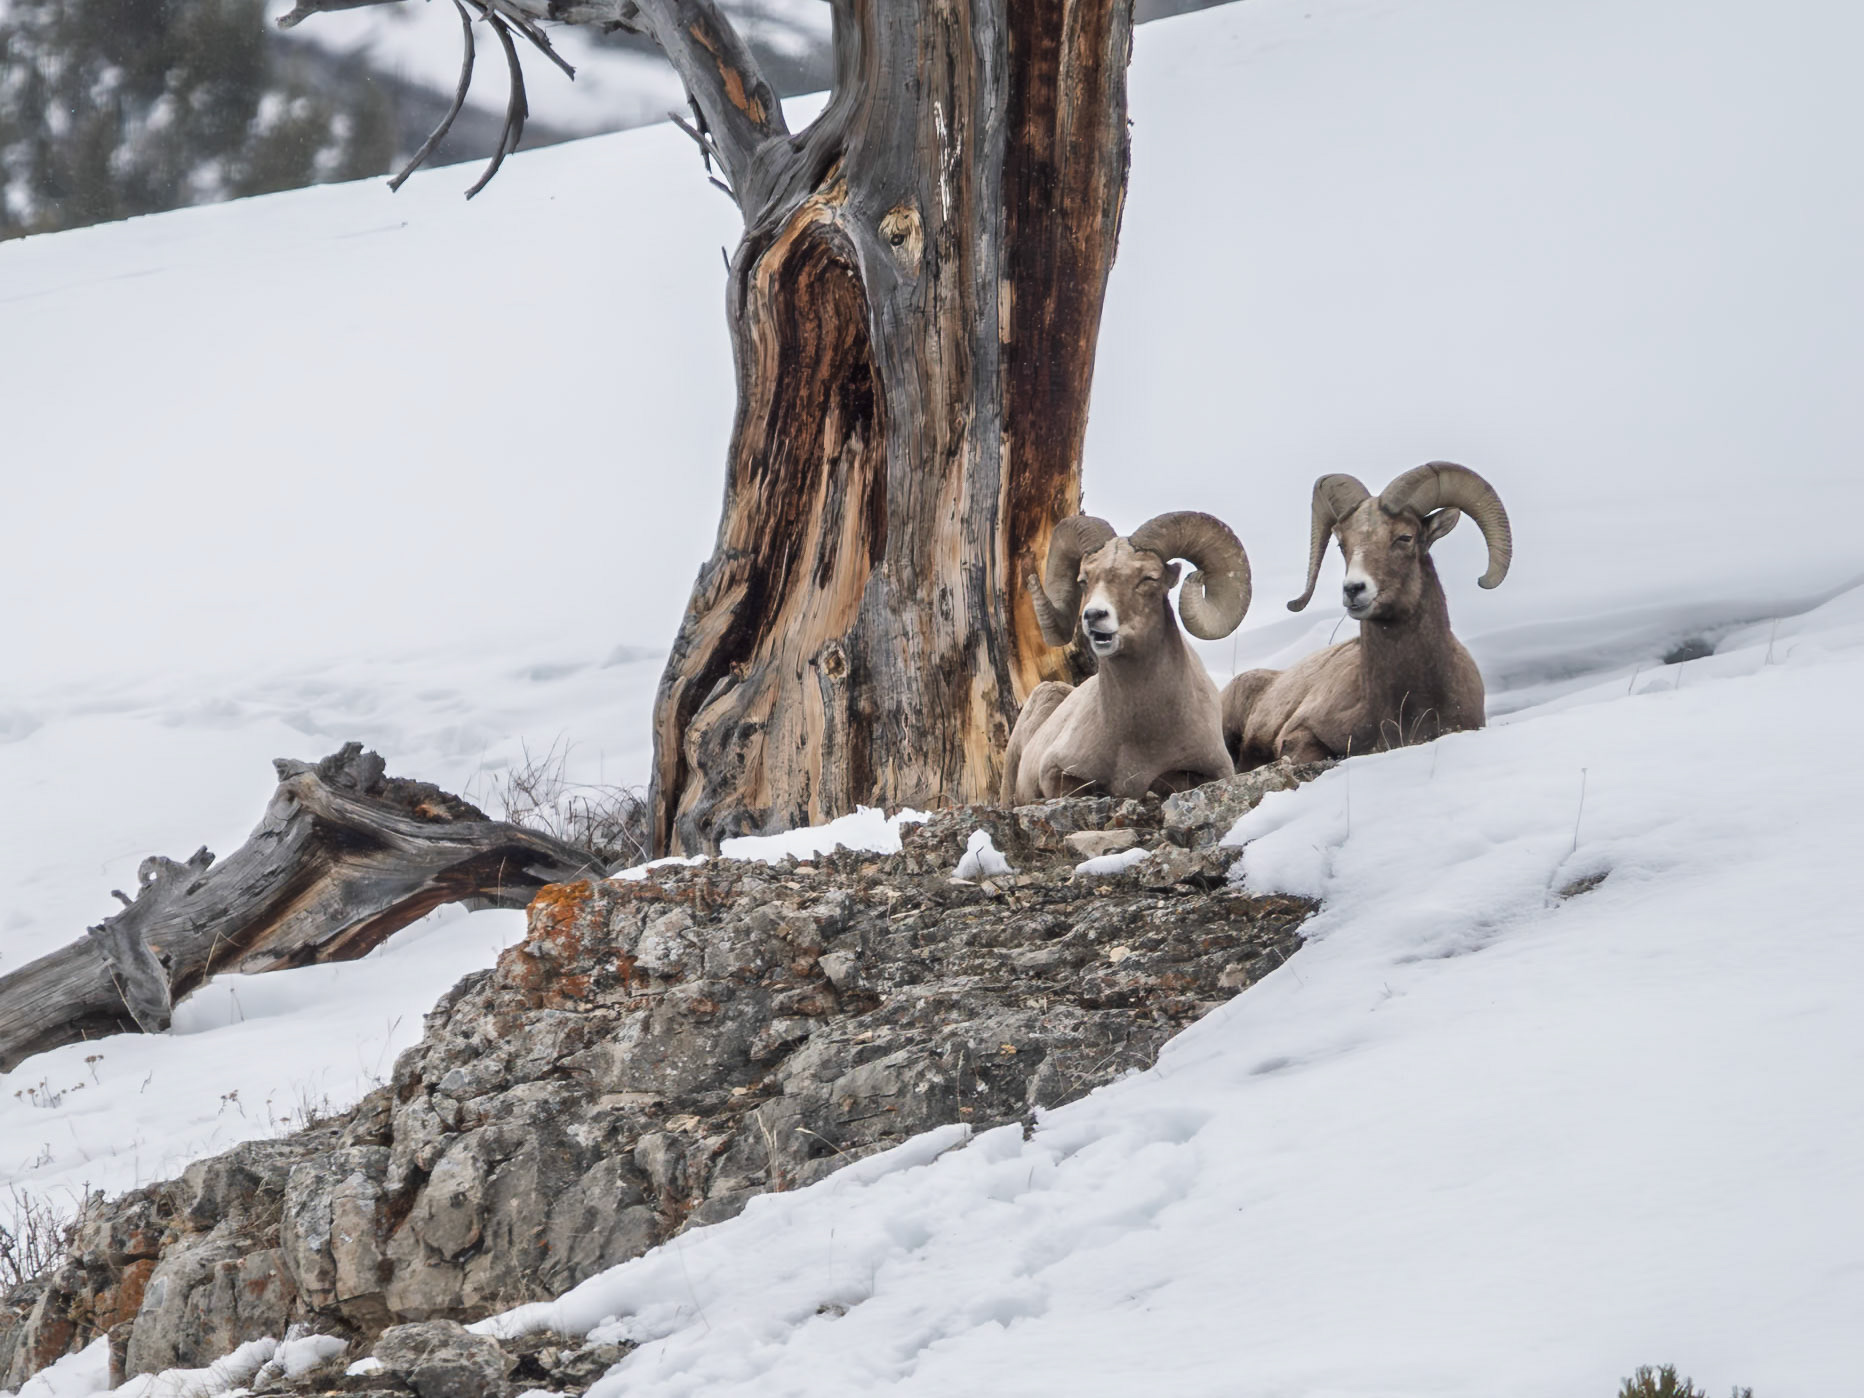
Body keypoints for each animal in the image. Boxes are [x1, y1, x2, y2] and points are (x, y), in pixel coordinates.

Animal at [1001, 511, 1252, 804]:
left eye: (1148, 578)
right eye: (1084, 580)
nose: (1094, 615)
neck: (1136, 736)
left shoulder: (1214, 772)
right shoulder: (1056, 771)